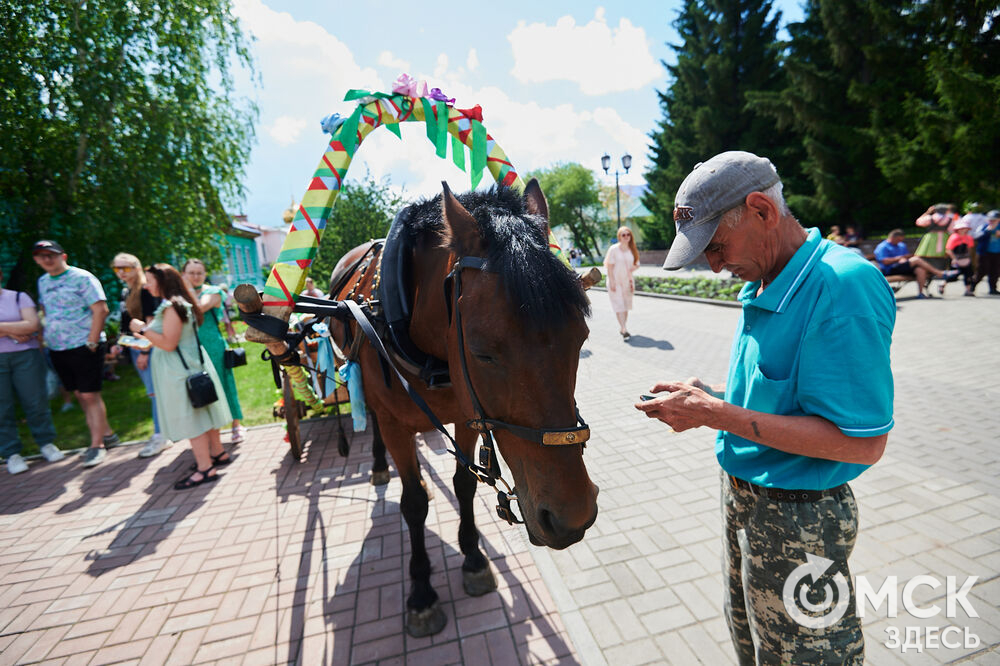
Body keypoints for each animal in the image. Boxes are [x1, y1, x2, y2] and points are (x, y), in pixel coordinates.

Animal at [328, 179, 596, 636]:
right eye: (482, 351)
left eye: (581, 337)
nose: (572, 517)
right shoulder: (398, 424)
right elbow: (414, 502)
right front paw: (421, 593)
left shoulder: (468, 415)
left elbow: (463, 484)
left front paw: (473, 559)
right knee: (376, 423)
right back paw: (379, 464)